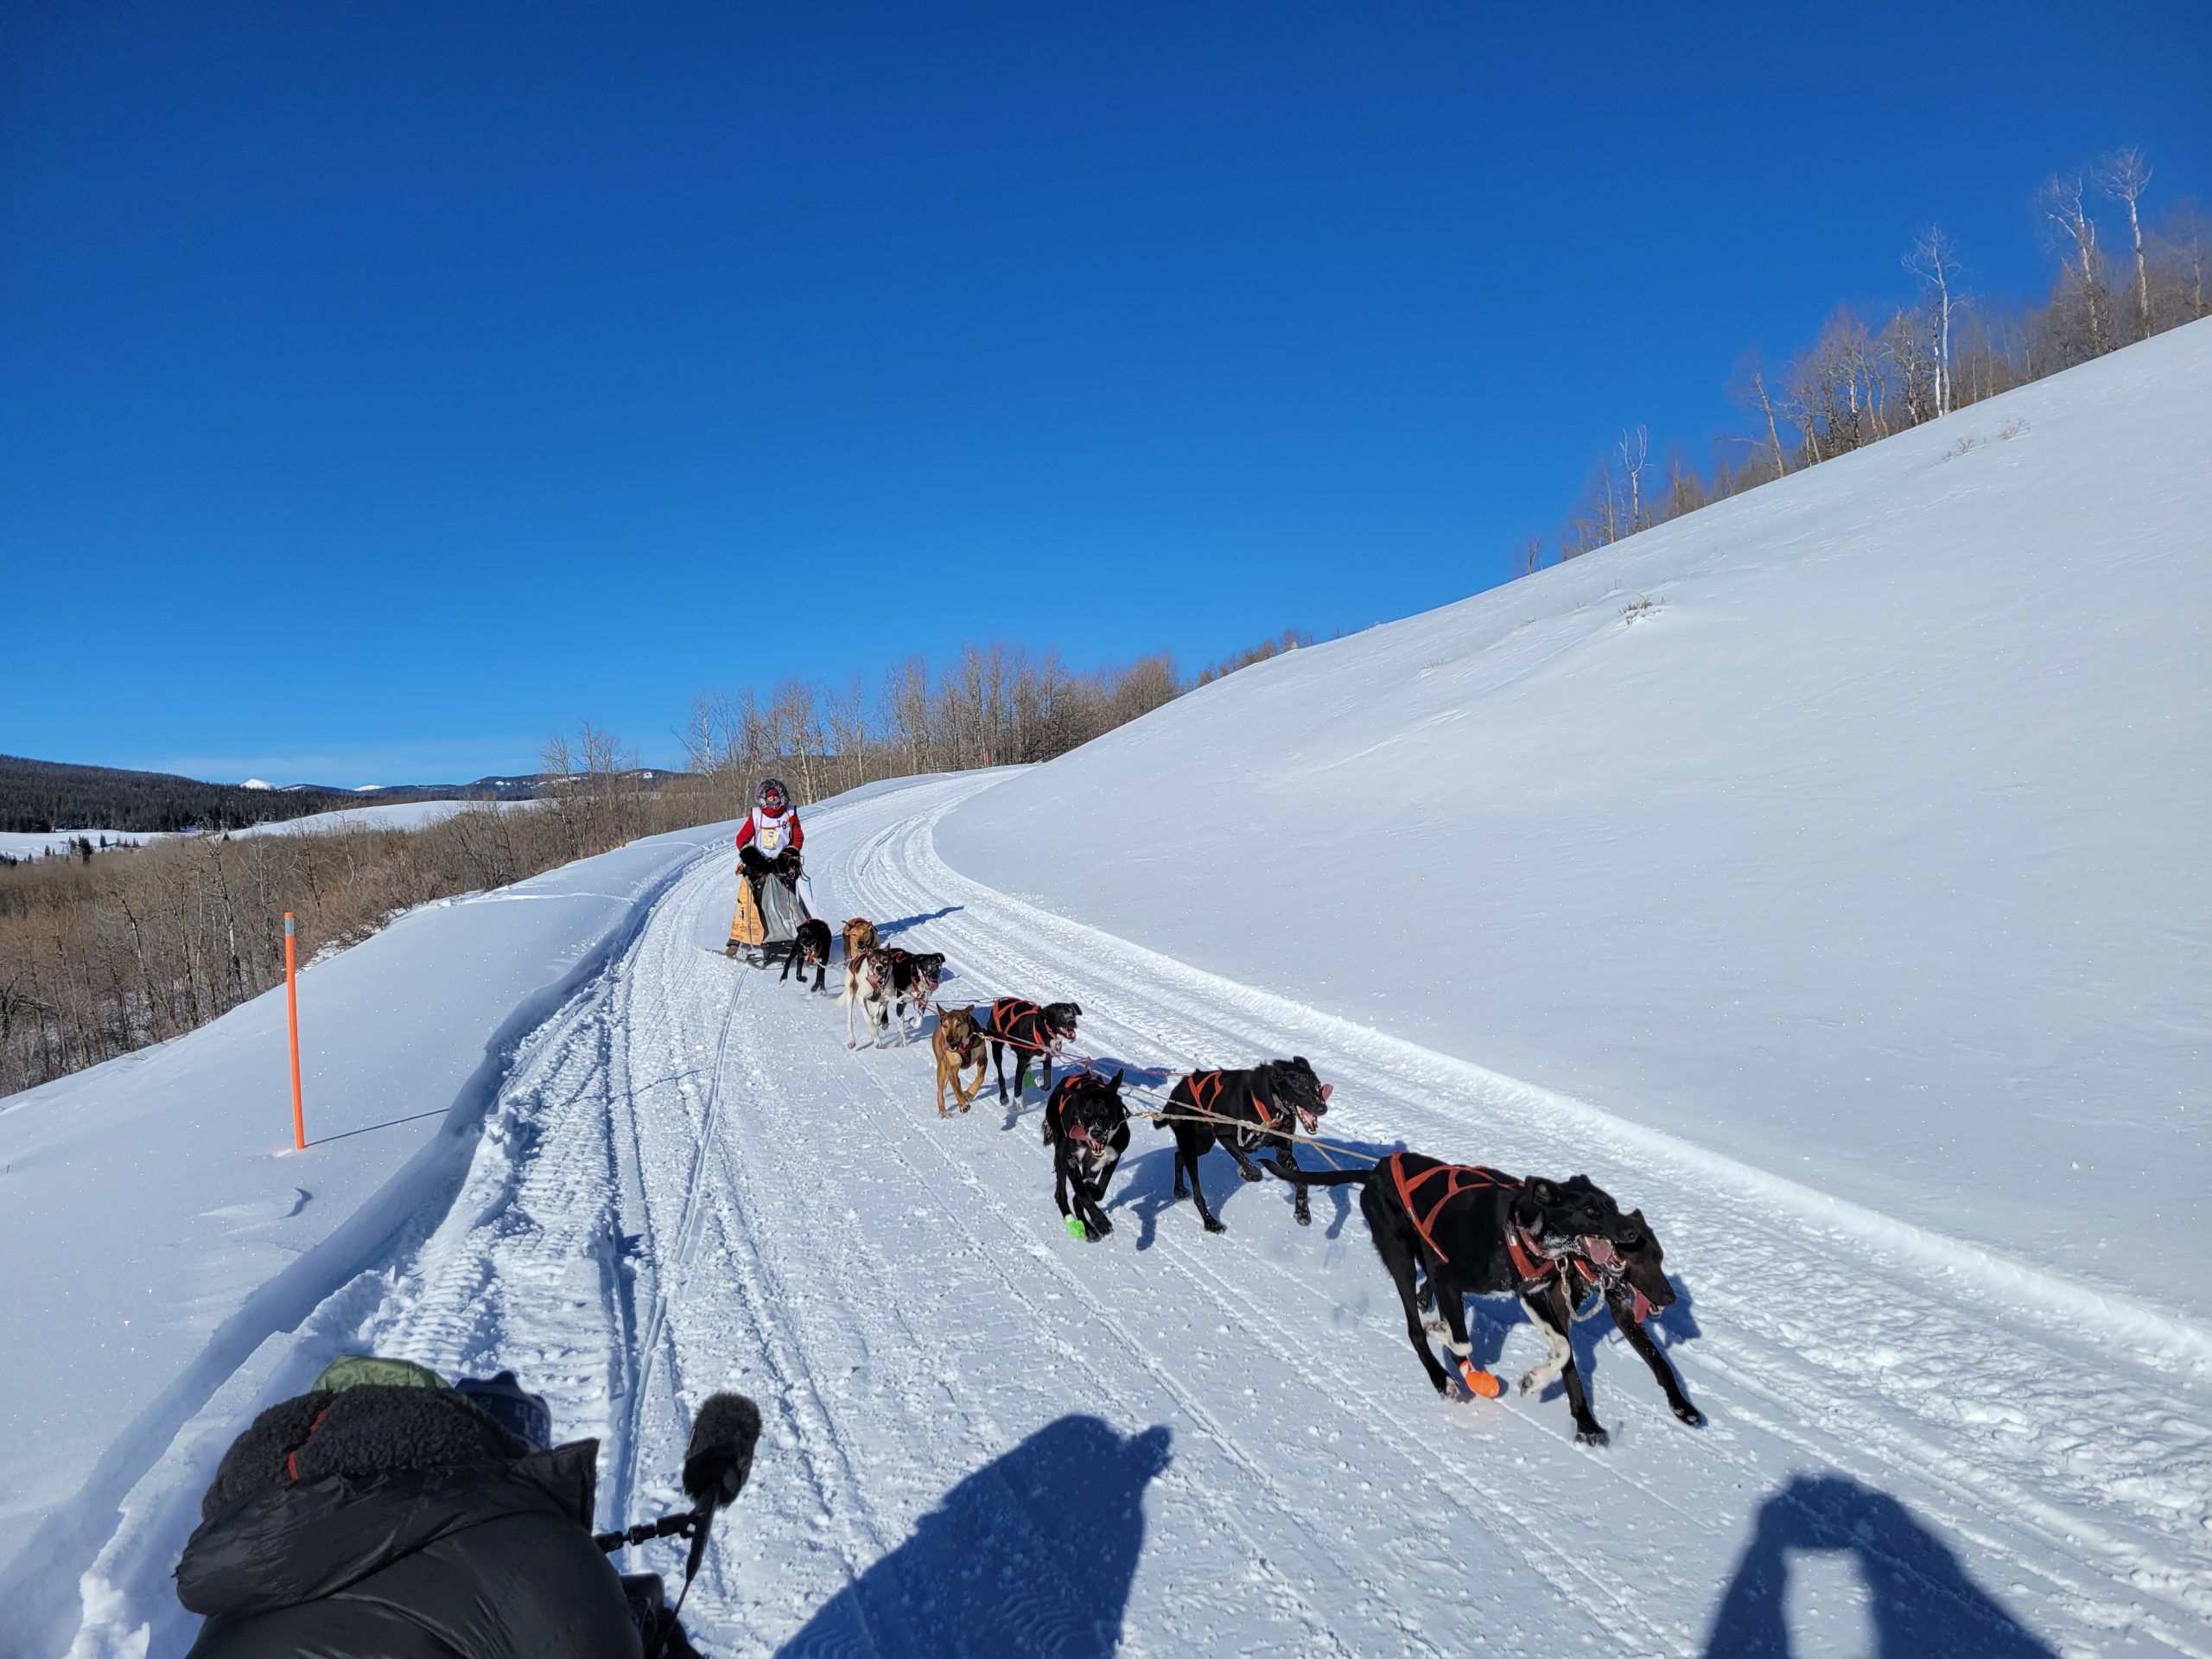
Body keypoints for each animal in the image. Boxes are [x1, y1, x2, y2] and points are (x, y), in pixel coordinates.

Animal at [932, 1005, 988, 1116]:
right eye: (945, 1025)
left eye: (958, 1024)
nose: (949, 1039)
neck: (964, 1046)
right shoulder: (952, 1068)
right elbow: (956, 1088)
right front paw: (963, 1104)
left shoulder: (983, 1058)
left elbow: (980, 1078)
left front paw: (969, 1094)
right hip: (942, 1067)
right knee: (941, 1090)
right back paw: (943, 1111)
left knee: (957, 1082)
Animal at [1043, 1069, 1129, 1241]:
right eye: (1086, 1112)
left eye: (1105, 1110)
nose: (1095, 1132)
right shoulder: (1069, 1160)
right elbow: (1082, 1194)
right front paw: (1102, 1223)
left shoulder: (1110, 1159)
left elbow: (1098, 1191)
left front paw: (1092, 1190)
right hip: (1060, 1150)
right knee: (1060, 1194)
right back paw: (1074, 1220)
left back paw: (1086, 1225)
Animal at [1159, 1058, 1335, 1232]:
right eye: (1301, 1086)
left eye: (1318, 1086)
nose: (1323, 1108)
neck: (1268, 1101)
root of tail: (1180, 1087)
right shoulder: (1226, 1138)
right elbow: (1254, 1170)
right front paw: (1245, 1173)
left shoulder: (1284, 1154)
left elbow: (1301, 1180)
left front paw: (1302, 1212)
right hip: (1194, 1143)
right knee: (1197, 1192)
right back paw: (1210, 1222)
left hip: (1203, 1144)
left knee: (1178, 1155)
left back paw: (1179, 1190)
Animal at [1269, 1153, 1658, 1443]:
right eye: (1591, 1212)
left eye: (1613, 1205)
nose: (1633, 1231)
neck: (1519, 1229)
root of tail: (1376, 1171)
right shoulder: (1448, 1279)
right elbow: (1461, 1341)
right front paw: (1441, 1333)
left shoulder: (1529, 1294)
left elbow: (1562, 1347)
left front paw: (1534, 1380)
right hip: (1400, 1257)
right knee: (1414, 1329)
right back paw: (1442, 1378)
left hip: (1423, 1253)